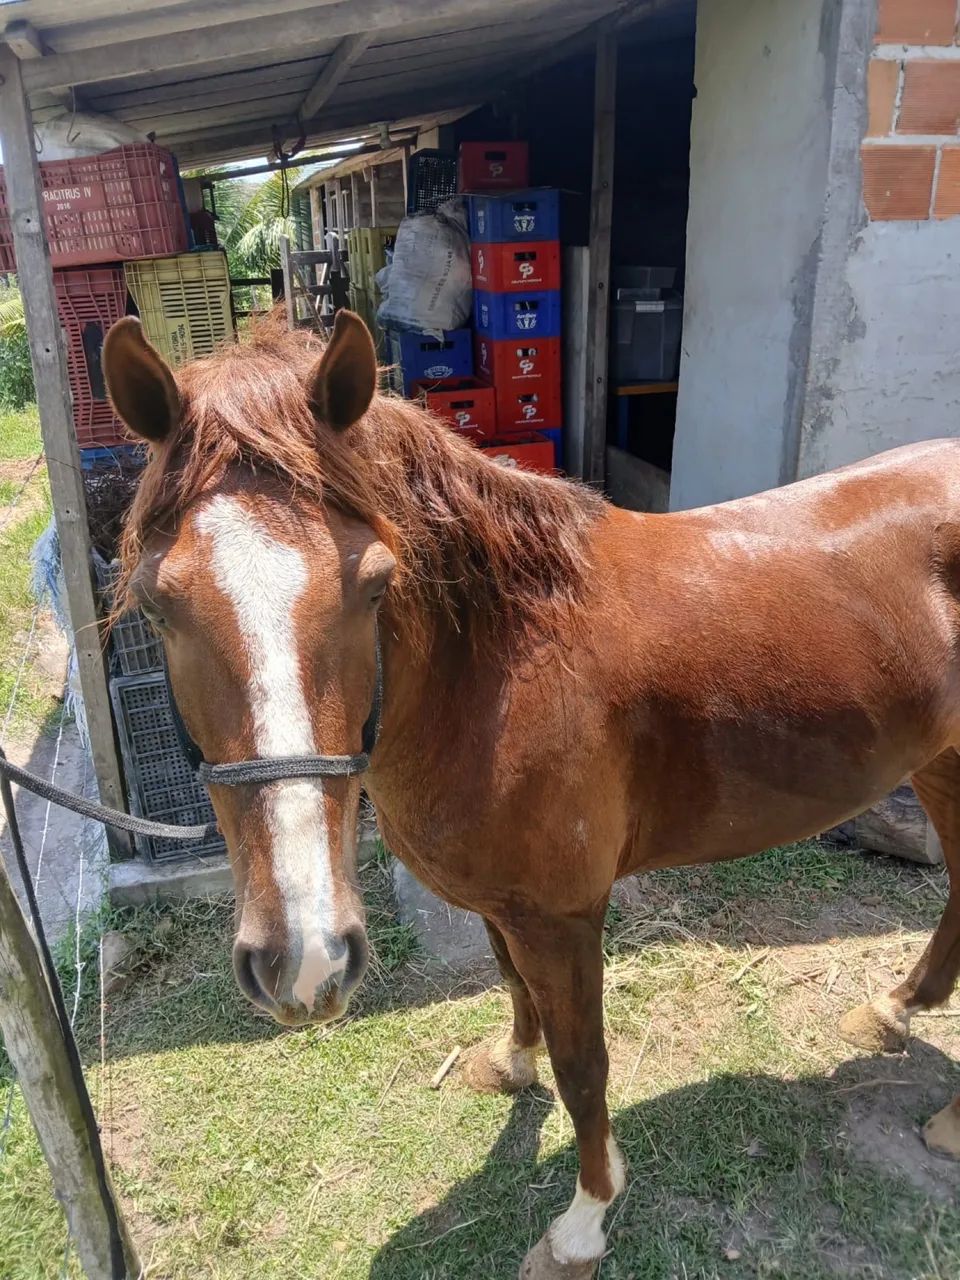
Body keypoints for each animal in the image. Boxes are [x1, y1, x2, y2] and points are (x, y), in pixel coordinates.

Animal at [102, 310, 960, 1280]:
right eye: (156, 605)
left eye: (374, 584)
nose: (303, 960)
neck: (501, 666)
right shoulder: (503, 906)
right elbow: (513, 991)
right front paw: (511, 1064)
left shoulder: (562, 916)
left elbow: (585, 1066)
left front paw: (583, 1222)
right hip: (940, 763)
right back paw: (891, 1011)